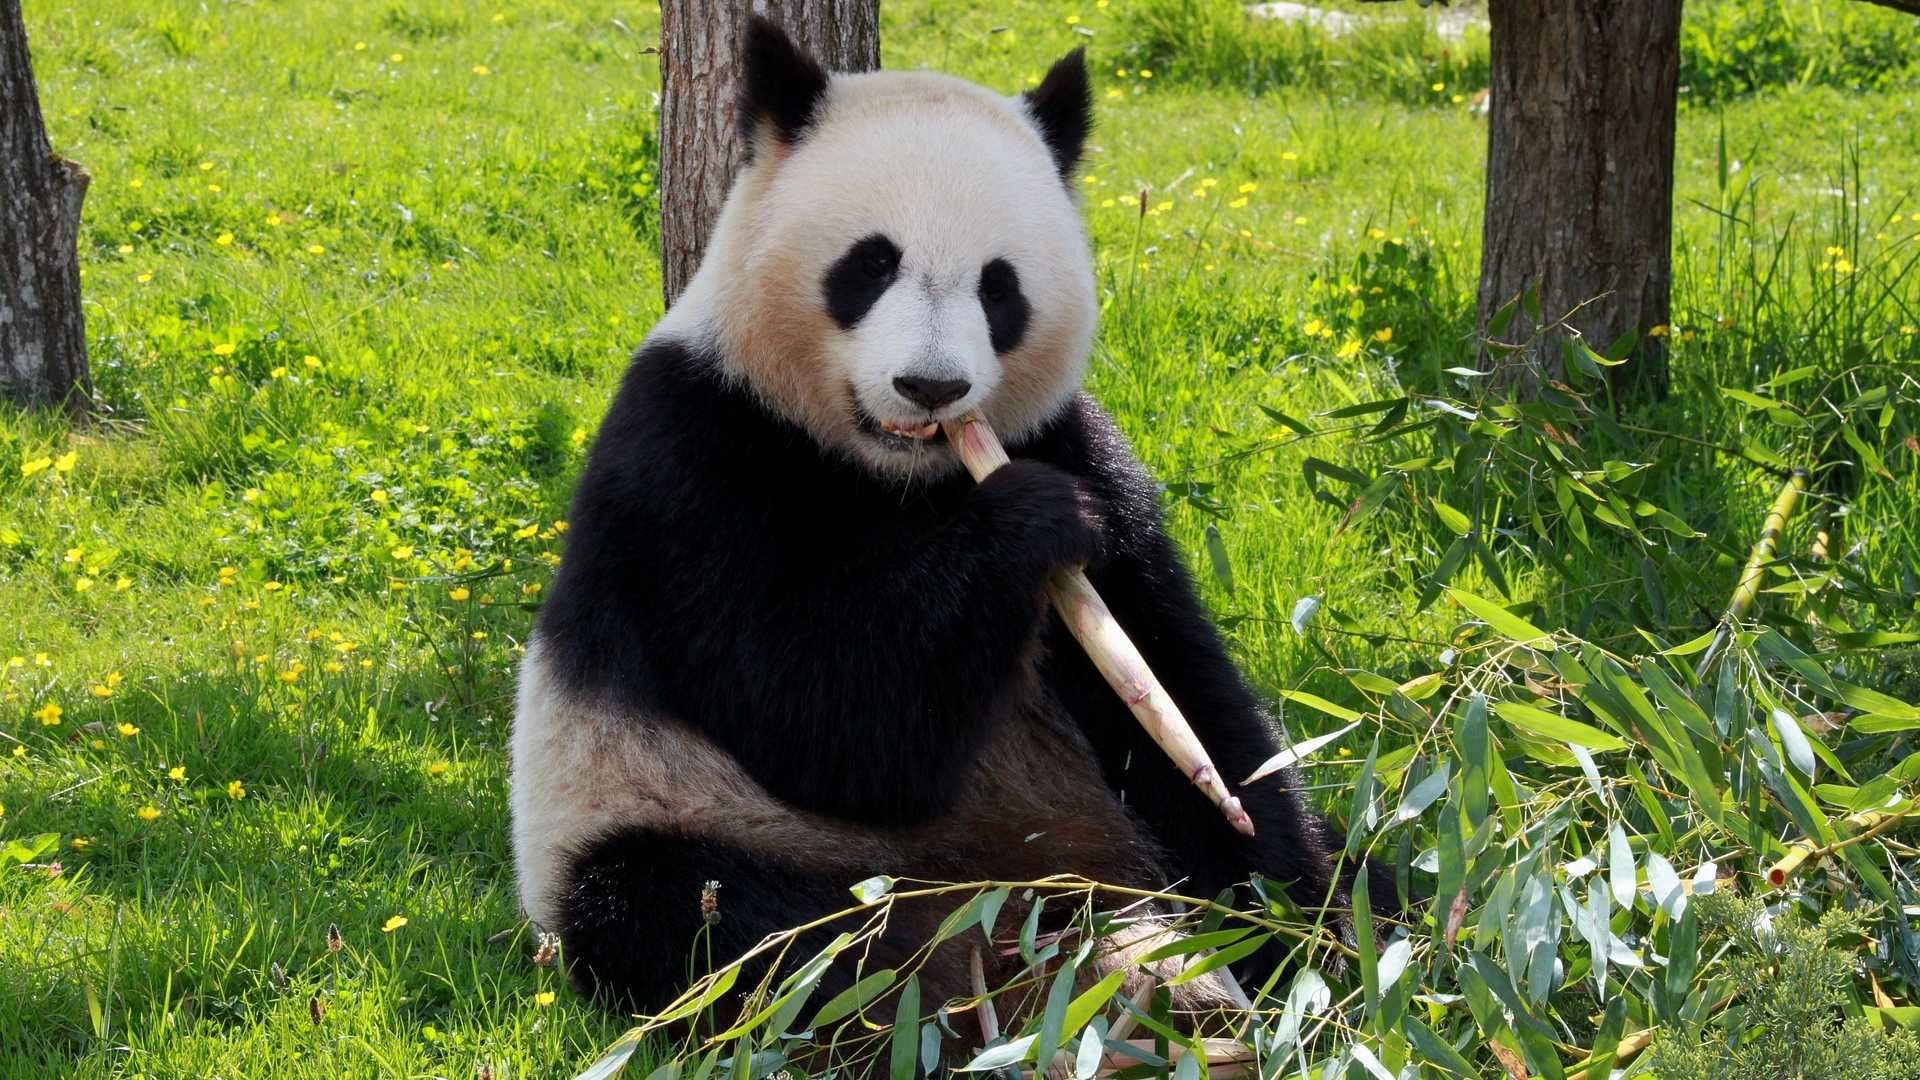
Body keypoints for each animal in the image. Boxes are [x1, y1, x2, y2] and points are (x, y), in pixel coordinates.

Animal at [512, 17, 1383, 1022]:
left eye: (998, 287)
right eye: (870, 264)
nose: (931, 386)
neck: (899, 475)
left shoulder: (1071, 437)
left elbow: (1179, 691)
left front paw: (1292, 923)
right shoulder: (692, 451)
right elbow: (818, 713)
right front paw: (1030, 520)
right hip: (667, 811)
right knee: (719, 925)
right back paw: (953, 990)